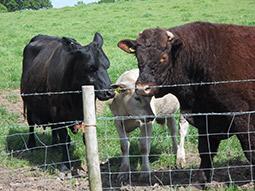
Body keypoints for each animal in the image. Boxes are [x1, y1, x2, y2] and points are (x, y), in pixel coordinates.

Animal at [20, 32, 114, 170]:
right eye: (90, 68)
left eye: (107, 65)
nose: (110, 92)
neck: (75, 98)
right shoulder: (58, 113)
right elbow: (64, 138)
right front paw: (65, 164)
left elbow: (85, 138)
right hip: (29, 102)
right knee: (31, 124)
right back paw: (31, 145)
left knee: (53, 128)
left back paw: (54, 144)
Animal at [118, 21, 255, 184]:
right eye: (137, 57)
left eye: (164, 57)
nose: (142, 88)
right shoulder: (205, 117)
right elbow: (205, 151)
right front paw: (201, 181)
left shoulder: (243, 118)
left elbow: (250, 150)